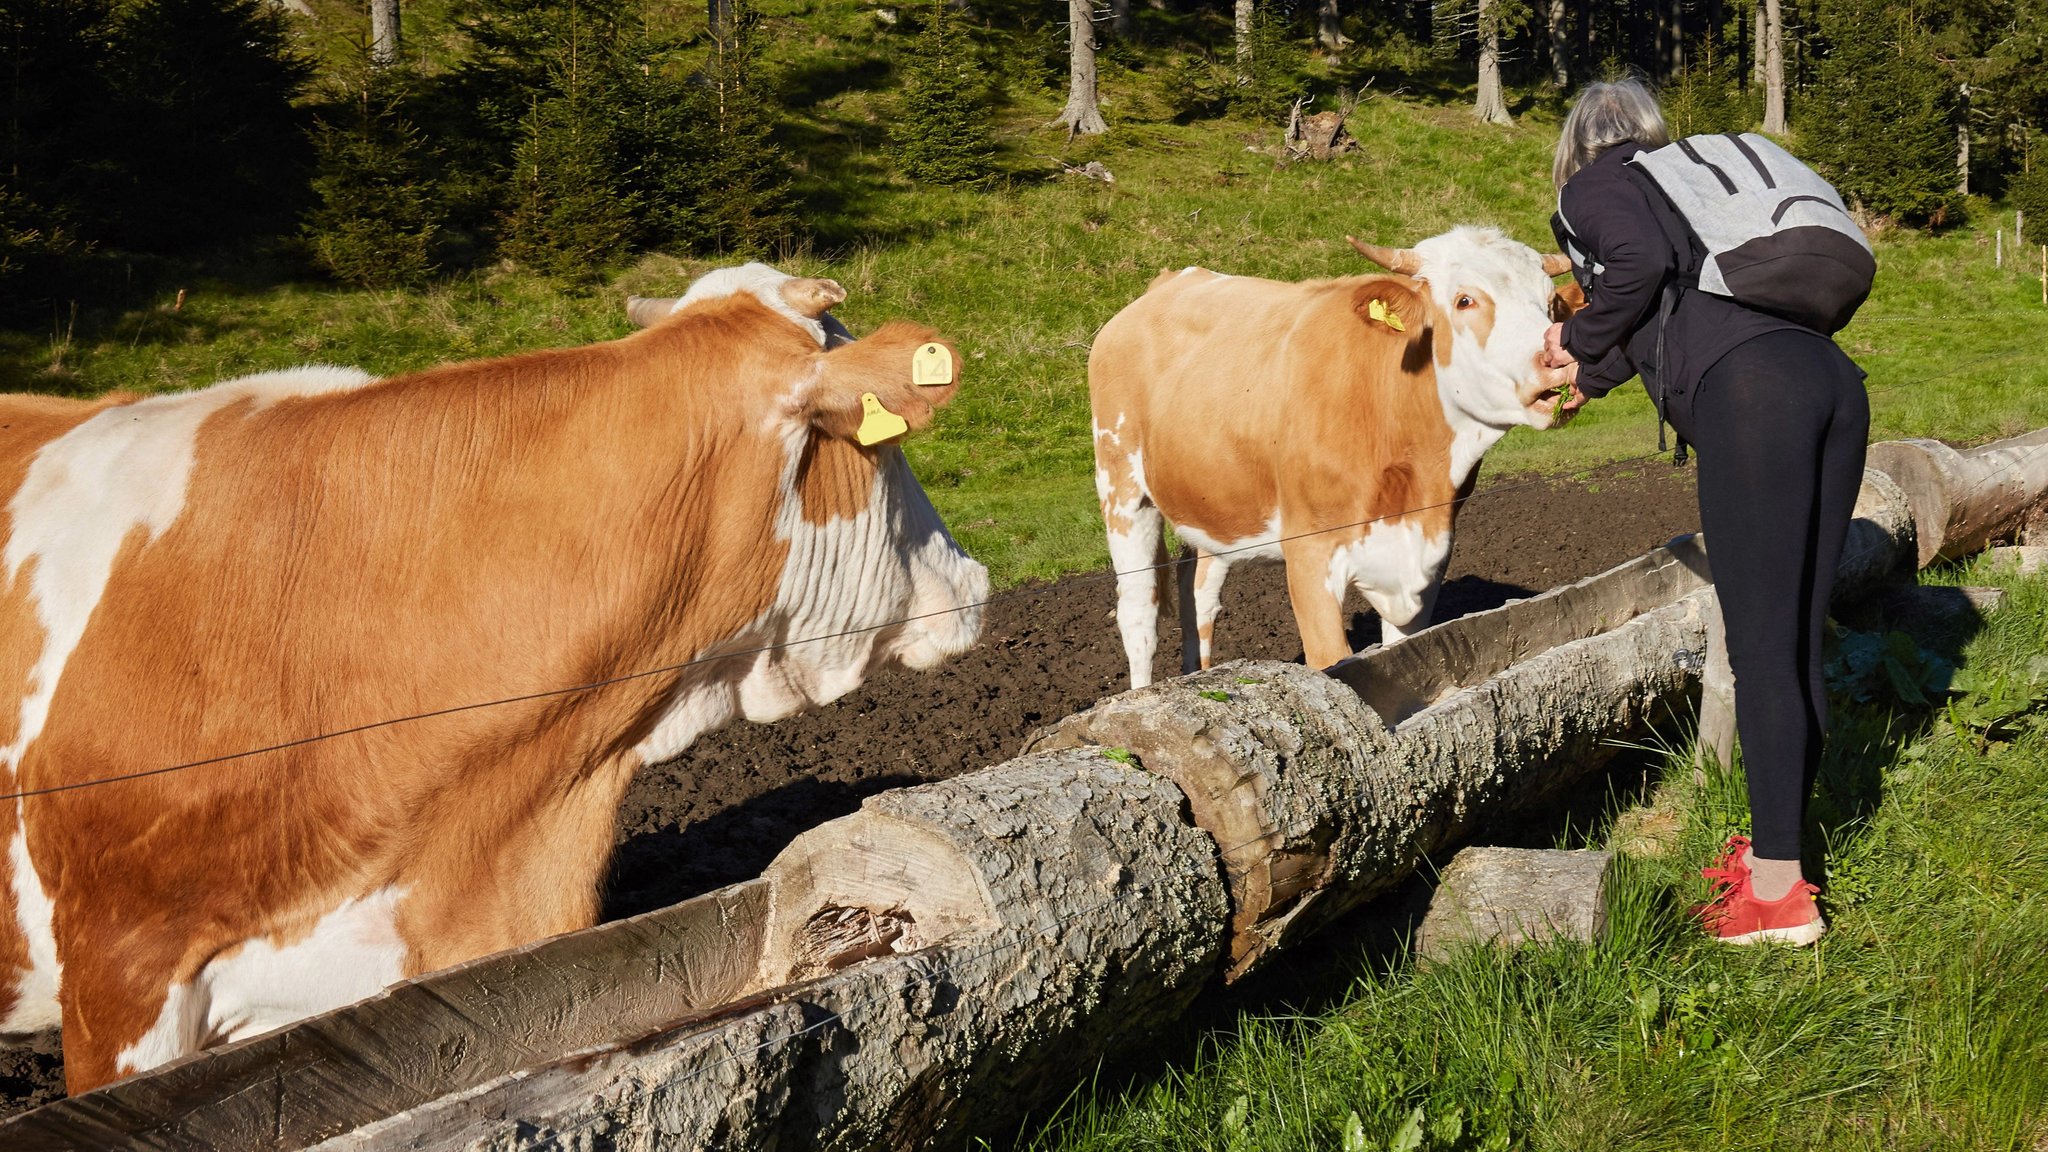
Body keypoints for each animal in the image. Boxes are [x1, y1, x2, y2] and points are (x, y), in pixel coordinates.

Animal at [1090, 226, 1577, 688]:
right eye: (1464, 300)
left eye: (1551, 304)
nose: (1559, 360)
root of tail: (1169, 281)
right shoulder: (1309, 555)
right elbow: (1328, 658)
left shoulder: (1429, 558)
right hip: (1122, 486)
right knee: (1139, 614)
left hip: (1212, 497)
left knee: (1199, 593)